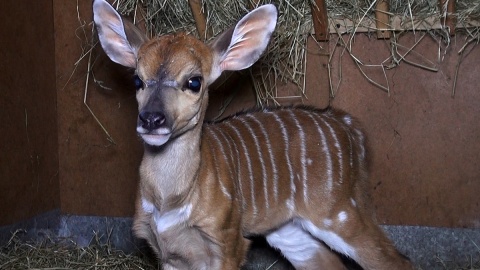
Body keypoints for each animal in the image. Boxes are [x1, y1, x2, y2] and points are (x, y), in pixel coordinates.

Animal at [93, 1, 412, 268]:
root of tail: (350, 127)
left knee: (395, 260)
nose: (151, 119)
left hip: (338, 210)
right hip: (286, 227)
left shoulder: (228, 240)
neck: (169, 201)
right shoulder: (168, 252)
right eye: (138, 80)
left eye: (194, 82)